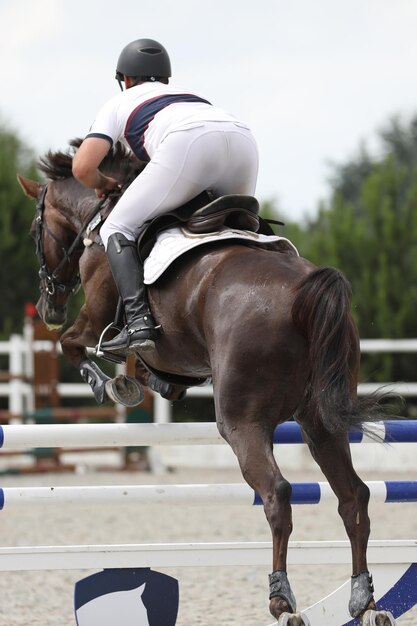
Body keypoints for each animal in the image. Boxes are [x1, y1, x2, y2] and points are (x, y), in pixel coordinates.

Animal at [18, 140, 396, 624]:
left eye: (35, 230)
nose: (48, 308)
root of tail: (304, 291)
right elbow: (151, 370)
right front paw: (145, 384)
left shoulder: (94, 318)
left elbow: (73, 345)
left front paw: (110, 385)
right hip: (320, 424)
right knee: (354, 497)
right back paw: (364, 599)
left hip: (241, 422)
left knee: (277, 494)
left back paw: (282, 600)